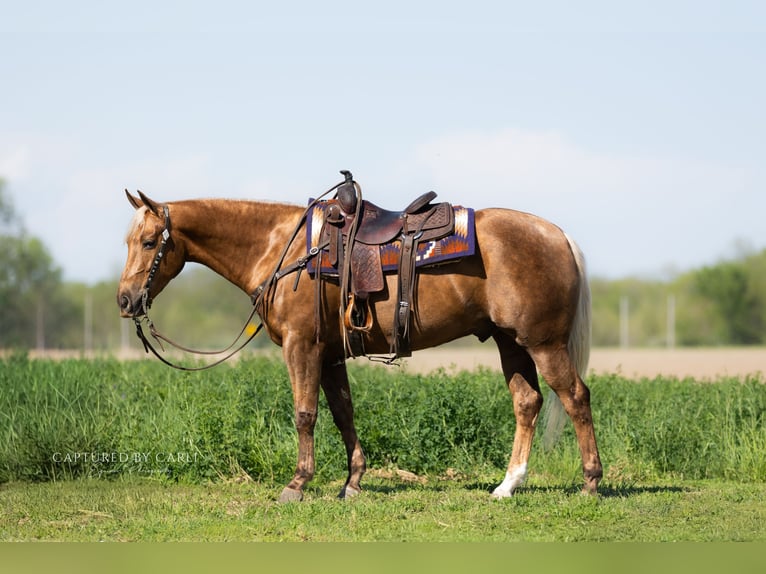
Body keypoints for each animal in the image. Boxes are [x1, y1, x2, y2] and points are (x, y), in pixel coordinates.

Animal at [117, 181, 602, 502]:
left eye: (149, 242)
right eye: (128, 241)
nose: (125, 299)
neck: (284, 250)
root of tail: (558, 234)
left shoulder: (302, 346)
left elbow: (305, 414)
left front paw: (297, 484)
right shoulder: (331, 354)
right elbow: (342, 414)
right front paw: (352, 482)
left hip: (544, 343)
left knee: (575, 397)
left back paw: (591, 483)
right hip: (510, 342)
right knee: (527, 402)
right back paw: (507, 485)